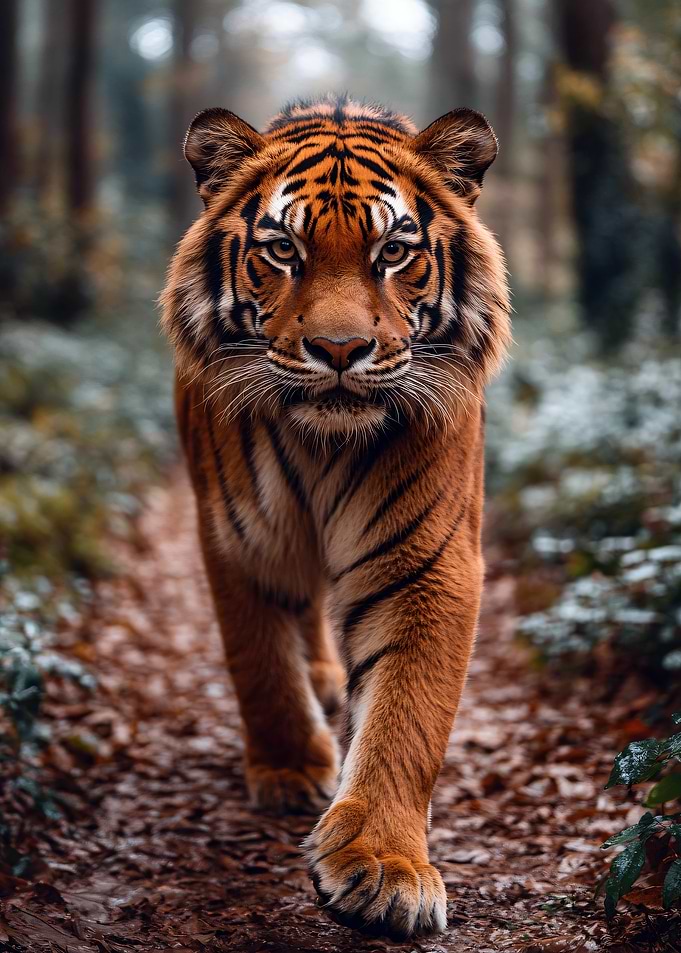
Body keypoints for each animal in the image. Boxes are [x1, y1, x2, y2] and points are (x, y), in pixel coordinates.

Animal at [160, 94, 510, 940]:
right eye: (283, 249)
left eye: (394, 251)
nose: (341, 348)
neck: (325, 440)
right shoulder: (239, 537)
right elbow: (258, 661)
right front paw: (289, 768)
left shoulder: (428, 560)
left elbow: (407, 717)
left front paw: (384, 866)